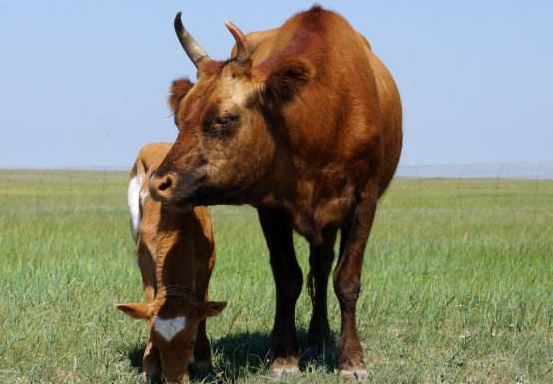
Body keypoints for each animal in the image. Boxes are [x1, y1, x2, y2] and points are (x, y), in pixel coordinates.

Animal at [116, 142, 226, 382]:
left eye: (190, 342)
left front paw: (203, 361)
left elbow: (203, 303)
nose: (174, 379)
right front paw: (149, 364)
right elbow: (150, 301)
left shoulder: (207, 262)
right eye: (157, 342)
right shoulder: (144, 259)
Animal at [149, 6, 398, 380]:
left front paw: (352, 361)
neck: (320, 115)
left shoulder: (364, 202)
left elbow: (347, 280)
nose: (160, 182)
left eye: (225, 118)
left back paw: (320, 339)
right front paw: (284, 357)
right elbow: (287, 277)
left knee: (322, 268)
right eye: (180, 118)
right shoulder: (270, 207)